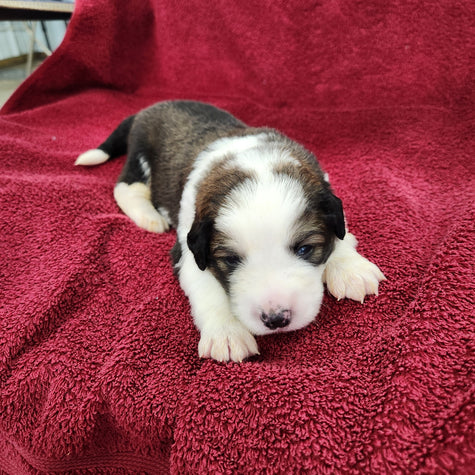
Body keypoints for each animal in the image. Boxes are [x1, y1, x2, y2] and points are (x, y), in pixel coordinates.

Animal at [75, 99, 386, 360]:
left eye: (305, 248)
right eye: (231, 260)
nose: (276, 319)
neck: (251, 159)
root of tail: (148, 108)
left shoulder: (325, 190)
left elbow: (341, 233)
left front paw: (351, 269)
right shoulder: (189, 250)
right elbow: (207, 290)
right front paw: (227, 334)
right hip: (140, 155)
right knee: (126, 185)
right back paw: (149, 216)